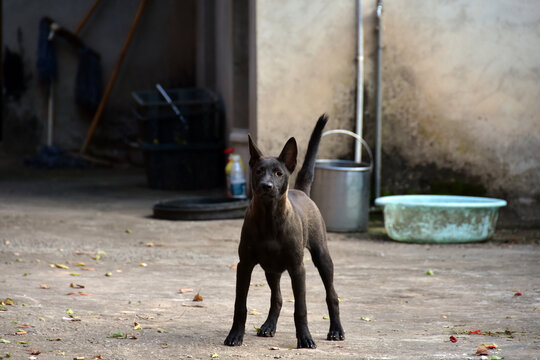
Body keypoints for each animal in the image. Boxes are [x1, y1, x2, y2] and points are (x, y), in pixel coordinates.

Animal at [225, 114, 346, 348]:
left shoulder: (298, 269)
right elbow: (239, 305)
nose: (266, 186)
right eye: (258, 171)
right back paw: (268, 326)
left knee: (332, 295)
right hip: (271, 269)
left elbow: (301, 309)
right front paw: (235, 335)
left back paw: (336, 330)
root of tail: (301, 190)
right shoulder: (244, 266)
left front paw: (305, 338)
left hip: (322, 257)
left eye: (279, 173)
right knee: (277, 298)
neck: (269, 217)